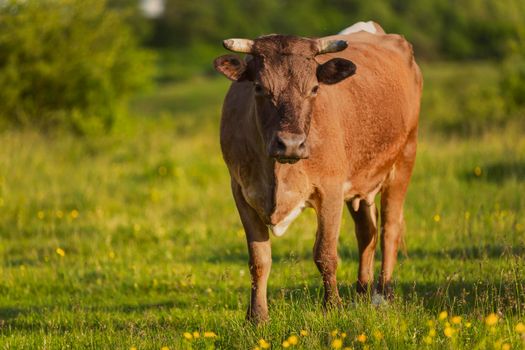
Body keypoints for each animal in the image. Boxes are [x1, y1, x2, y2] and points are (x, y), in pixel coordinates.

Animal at [213, 22, 422, 322]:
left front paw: (332, 306)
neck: (277, 171)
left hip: (404, 157)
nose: (290, 144)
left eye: (313, 89)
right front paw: (257, 317)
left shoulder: (330, 189)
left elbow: (325, 253)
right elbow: (259, 258)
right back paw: (362, 291)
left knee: (389, 229)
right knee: (367, 232)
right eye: (259, 87)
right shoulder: (241, 191)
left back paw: (384, 294)